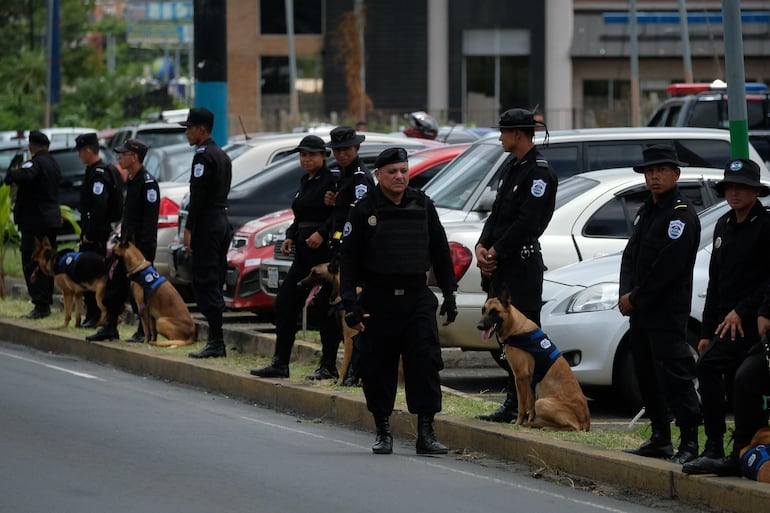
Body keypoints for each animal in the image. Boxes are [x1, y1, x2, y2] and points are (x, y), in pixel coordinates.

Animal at [474, 286, 588, 430]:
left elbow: (522, 406)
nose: (479, 326)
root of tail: (587, 421)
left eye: (494, 312)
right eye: (483, 310)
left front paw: (518, 423)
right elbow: (530, 406)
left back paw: (544, 427)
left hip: (542, 402)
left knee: (573, 426)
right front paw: (527, 421)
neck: (516, 328)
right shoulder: (529, 381)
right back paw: (535, 424)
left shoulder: (520, 377)